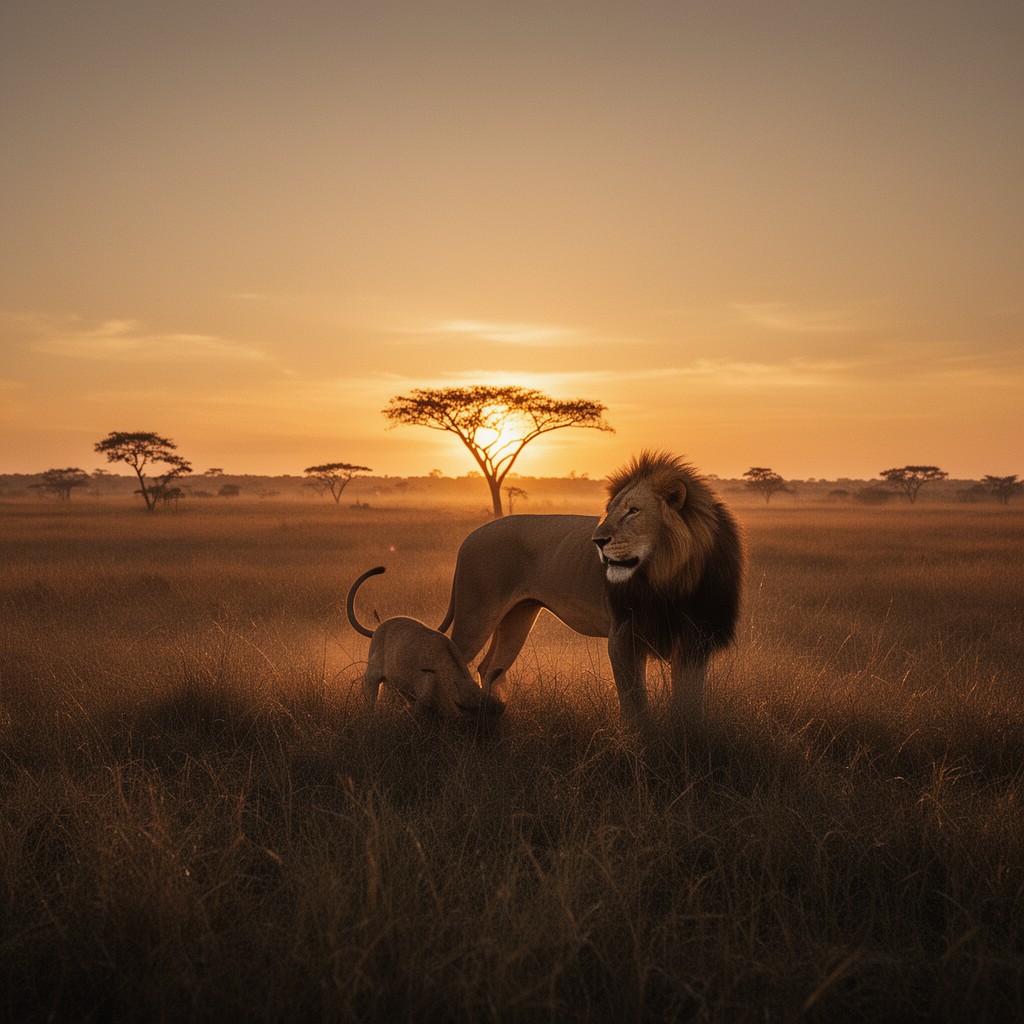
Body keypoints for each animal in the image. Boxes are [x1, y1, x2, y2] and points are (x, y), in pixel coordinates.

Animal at [436, 450, 744, 724]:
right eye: (609, 511)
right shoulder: (623, 637)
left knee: (490, 667)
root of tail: (469, 538)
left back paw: (492, 718)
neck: (673, 579)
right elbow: (636, 707)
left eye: (633, 511)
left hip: (518, 616)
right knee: (451, 656)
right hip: (477, 612)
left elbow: (688, 706)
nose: (597, 541)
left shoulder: (696, 640)